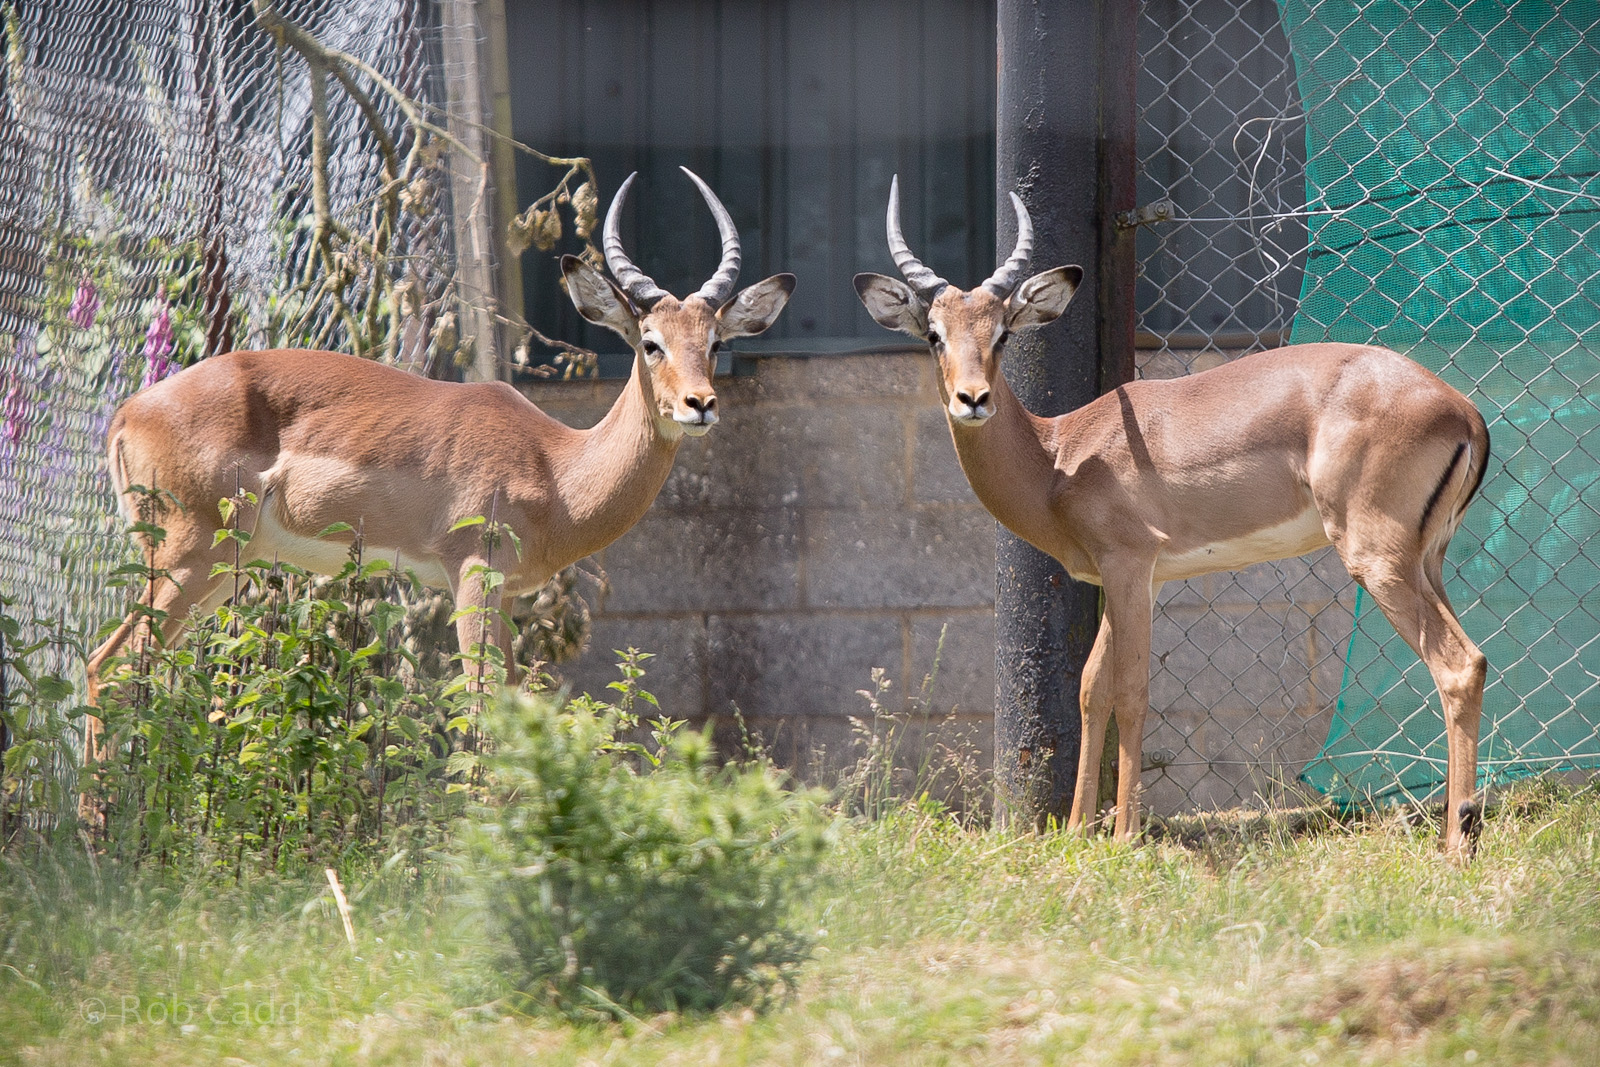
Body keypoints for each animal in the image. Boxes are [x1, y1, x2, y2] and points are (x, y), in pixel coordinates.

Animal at [85, 167, 795, 758]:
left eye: (714, 341)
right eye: (650, 342)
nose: (700, 404)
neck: (555, 467)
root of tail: (129, 412)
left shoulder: (505, 594)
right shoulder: (473, 574)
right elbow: (483, 711)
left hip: (229, 566)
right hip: (188, 552)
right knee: (108, 669)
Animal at [855, 177, 1490, 859]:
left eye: (1002, 333)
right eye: (934, 334)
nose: (972, 399)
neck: (1060, 456)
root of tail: (1461, 409)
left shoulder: (1129, 564)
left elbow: (1131, 691)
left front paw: (1123, 836)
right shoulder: (1132, 577)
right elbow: (1091, 687)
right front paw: (1077, 830)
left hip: (1375, 557)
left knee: (1457, 665)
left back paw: (1457, 844)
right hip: (1425, 561)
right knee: (1473, 661)